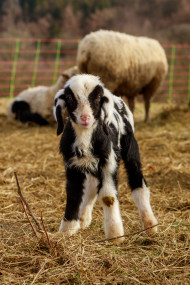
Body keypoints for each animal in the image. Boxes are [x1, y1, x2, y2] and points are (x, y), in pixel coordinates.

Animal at [53, 73, 157, 240]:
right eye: (69, 97)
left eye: (98, 98)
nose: (85, 118)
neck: (85, 136)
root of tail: (117, 98)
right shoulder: (72, 165)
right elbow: (73, 194)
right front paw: (67, 229)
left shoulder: (109, 163)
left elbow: (108, 197)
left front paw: (115, 234)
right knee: (91, 187)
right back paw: (83, 219)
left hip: (131, 148)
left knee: (138, 181)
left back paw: (150, 224)